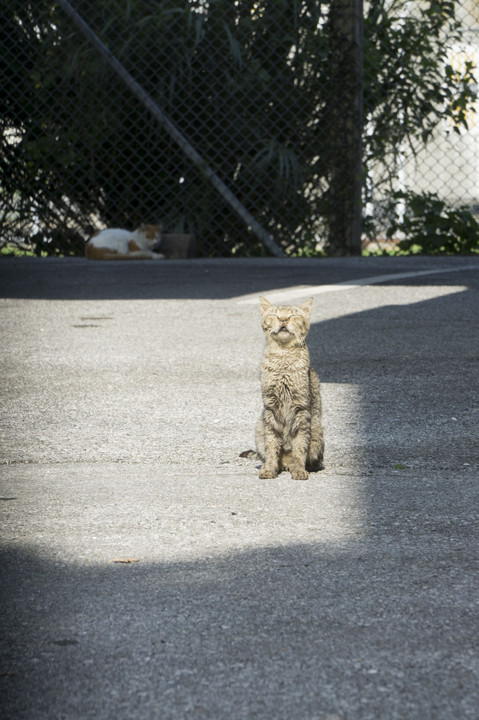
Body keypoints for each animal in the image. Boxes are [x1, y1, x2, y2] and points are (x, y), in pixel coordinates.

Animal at [249, 296, 324, 480]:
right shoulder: (270, 407)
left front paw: (298, 469)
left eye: (292, 316)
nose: (283, 320)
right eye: (276, 315)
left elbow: (299, 445)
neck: (282, 356)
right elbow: (272, 443)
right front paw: (269, 468)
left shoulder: (301, 408)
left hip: (318, 430)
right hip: (259, 425)